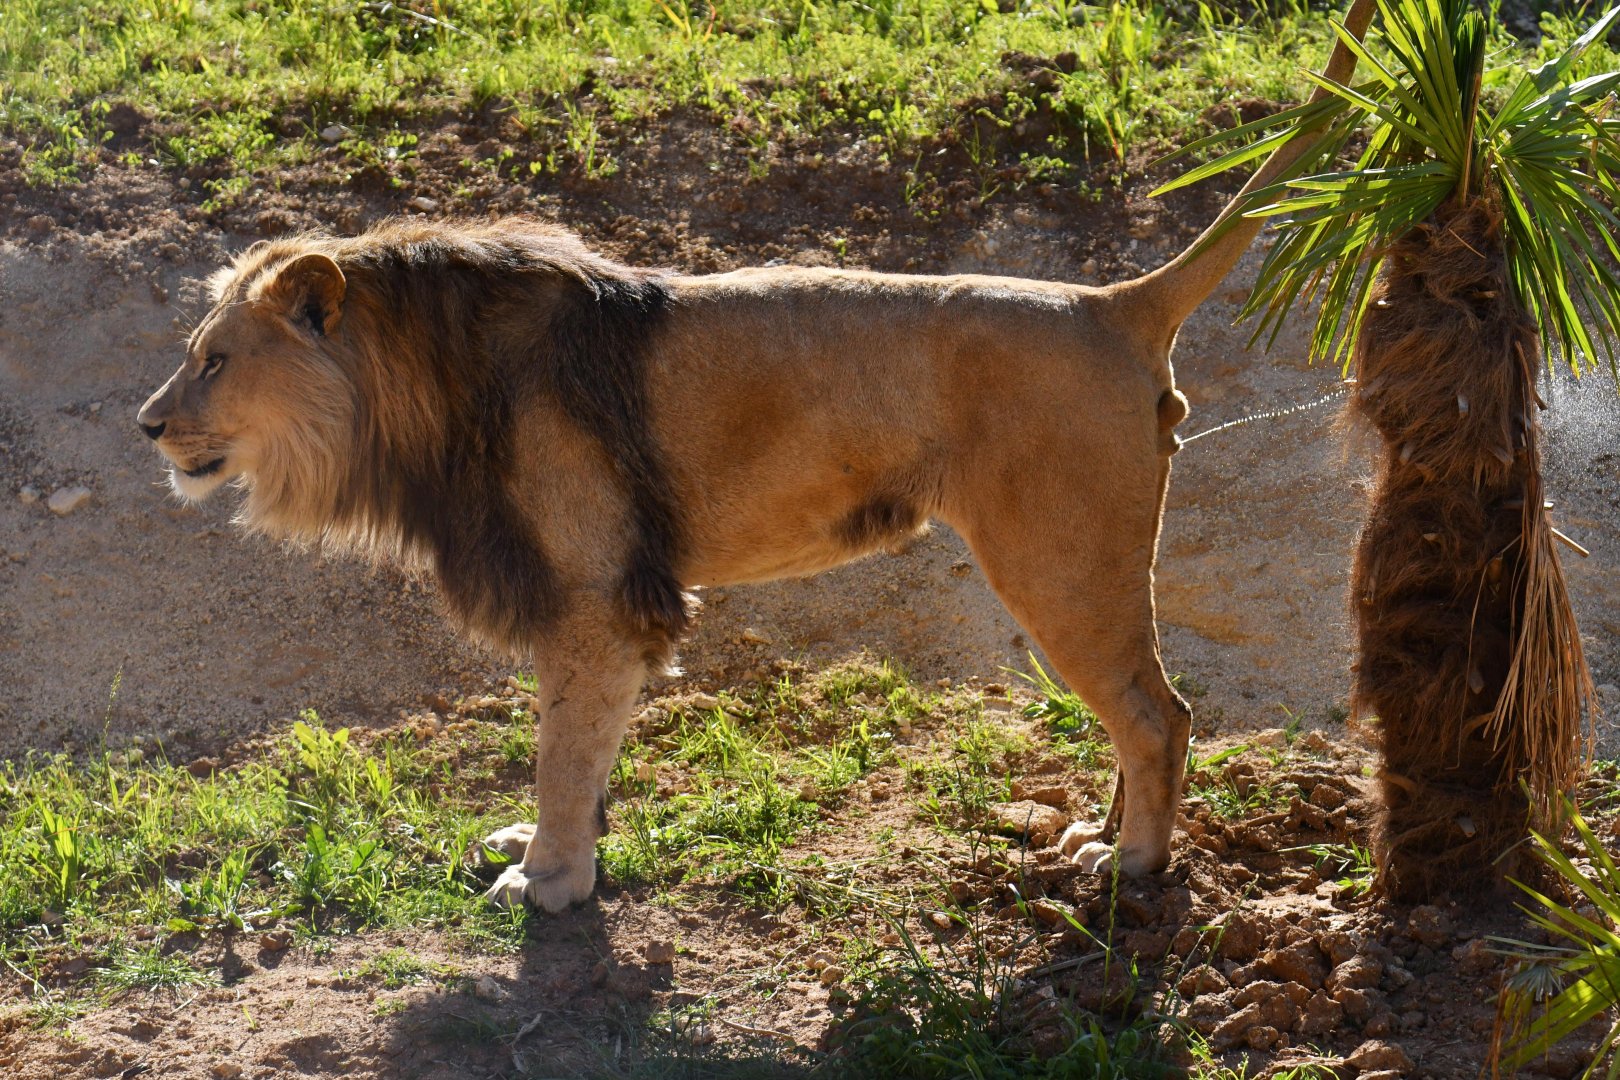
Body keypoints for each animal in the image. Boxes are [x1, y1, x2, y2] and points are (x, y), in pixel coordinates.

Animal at [136, 8, 1370, 912]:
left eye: (212, 359)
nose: (147, 425)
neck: (419, 383)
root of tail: (1112, 302)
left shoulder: (597, 593)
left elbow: (560, 747)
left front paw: (547, 883)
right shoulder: (607, 604)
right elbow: (584, 743)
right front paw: (562, 850)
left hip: (1061, 561)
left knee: (1161, 715)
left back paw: (1133, 867)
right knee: (1144, 713)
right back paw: (1099, 836)